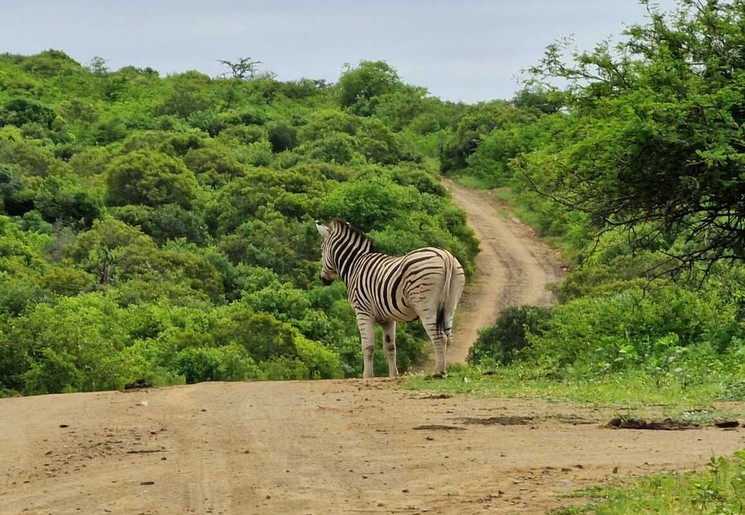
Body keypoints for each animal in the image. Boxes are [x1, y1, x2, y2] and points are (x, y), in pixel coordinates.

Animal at [315, 219, 465, 378]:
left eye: (322, 250)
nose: (323, 279)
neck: (354, 265)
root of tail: (446, 257)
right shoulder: (387, 318)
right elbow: (390, 347)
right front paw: (394, 376)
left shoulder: (362, 312)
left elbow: (368, 347)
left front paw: (367, 377)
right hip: (450, 304)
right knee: (448, 337)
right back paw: (445, 370)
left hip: (426, 305)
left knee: (439, 337)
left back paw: (439, 372)